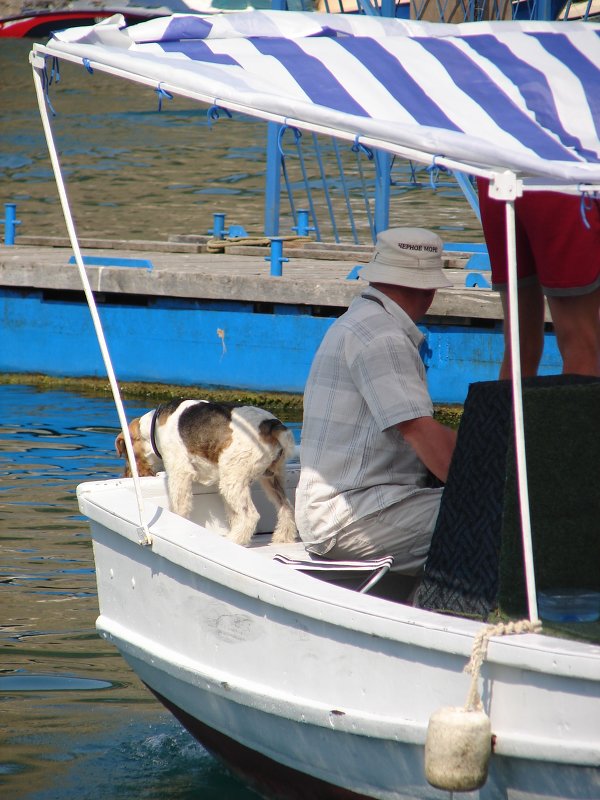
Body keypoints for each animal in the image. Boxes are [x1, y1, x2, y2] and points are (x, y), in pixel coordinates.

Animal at [115, 398, 298, 548]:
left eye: (126, 453)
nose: (126, 476)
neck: (153, 429)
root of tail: (272, 425)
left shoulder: (179, 471)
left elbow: (179, 507)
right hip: (271, 477)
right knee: (286, 508)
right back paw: (282, 538)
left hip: (233, 479)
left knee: (250, 516)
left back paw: (232, 540)